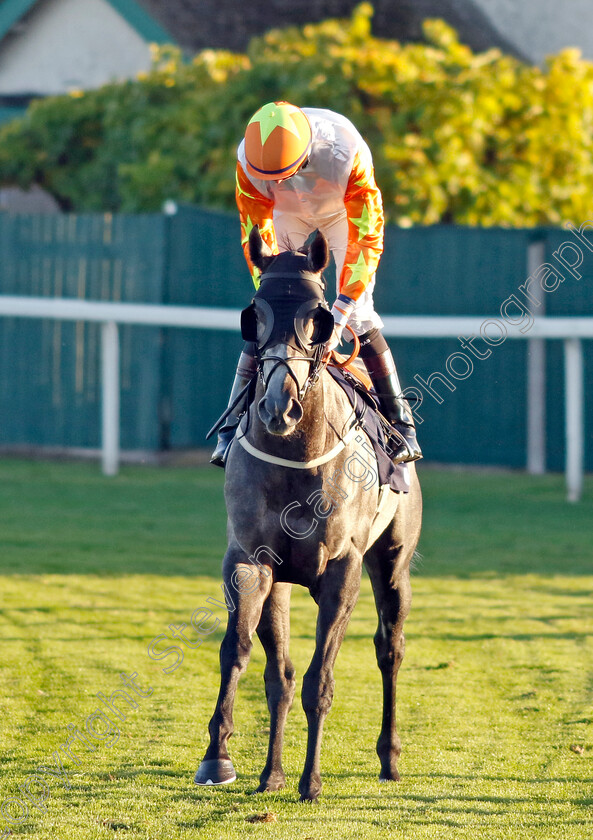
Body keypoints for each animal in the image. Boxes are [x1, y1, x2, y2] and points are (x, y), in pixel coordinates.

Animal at [194, 225, 420, 800]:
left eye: (317, 316)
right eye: (252, 316)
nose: (279, 406)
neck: (296, 455)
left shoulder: (341, 570)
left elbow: (321, 678)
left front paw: (311, 779)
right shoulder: (250, 561)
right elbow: (246, 656)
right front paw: (225, 761)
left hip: (392, 562)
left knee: (390, 648)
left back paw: (389, 758)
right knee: (282, 672)